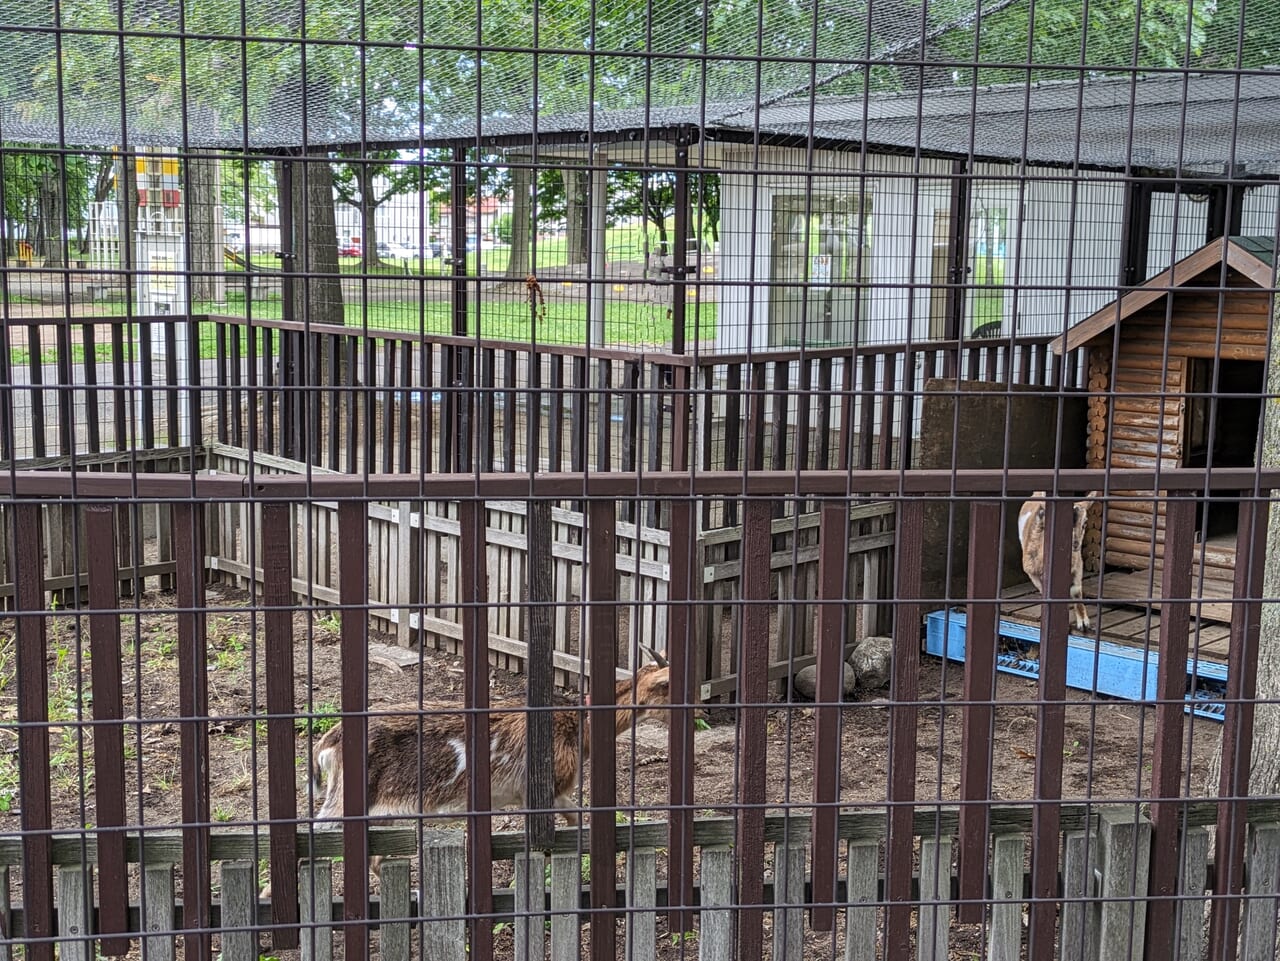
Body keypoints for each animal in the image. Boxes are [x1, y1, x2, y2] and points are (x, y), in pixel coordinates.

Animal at [1018, 491, 1100, 634]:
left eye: (1084, 523)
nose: (1075, 544)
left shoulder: (1077, 565)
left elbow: (1076, 590)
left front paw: (1083, 623)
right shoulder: (1033, 575)